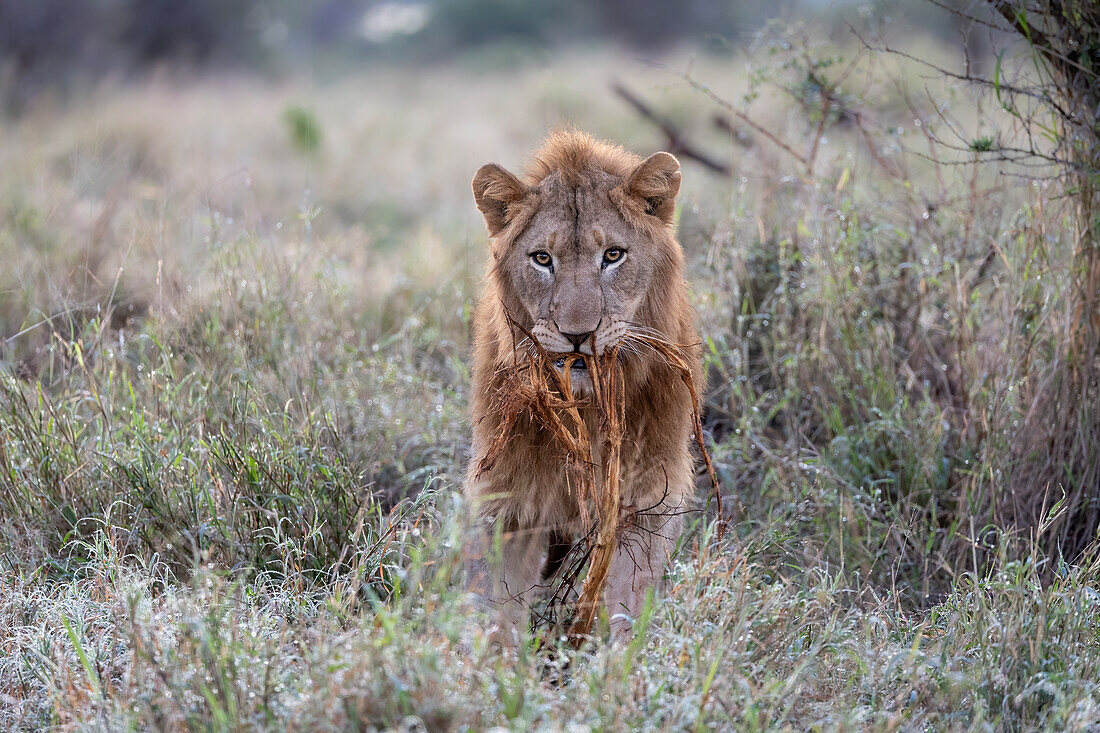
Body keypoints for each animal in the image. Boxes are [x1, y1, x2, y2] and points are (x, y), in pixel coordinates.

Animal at [464, 129, 704, 633]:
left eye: (613, 255)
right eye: (542, 258)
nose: (578, 334)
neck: (588, 410)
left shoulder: (646, 502)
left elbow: (626, 609)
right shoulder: (510, 503)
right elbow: (501, 611)